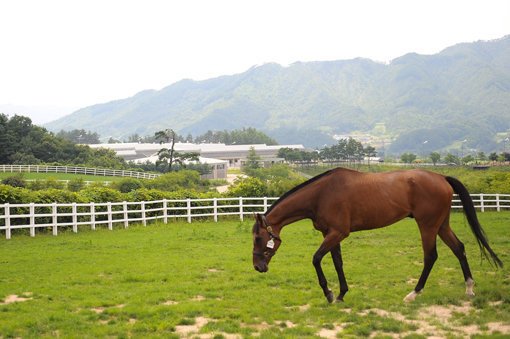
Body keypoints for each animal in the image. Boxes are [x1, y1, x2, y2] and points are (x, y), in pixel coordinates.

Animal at [251, 167, 502, 302]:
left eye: (258, 238)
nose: (257, 267)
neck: (322, 194)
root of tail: (441, 177)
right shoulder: (330, 234)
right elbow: (337, 262)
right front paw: (341, 294)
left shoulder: (337, 233)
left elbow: (316, 259)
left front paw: (329, 293)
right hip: (441, 225)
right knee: (459, 248)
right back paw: (469, 288)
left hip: (428, 226)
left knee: (431, 256)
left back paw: (414, 293)